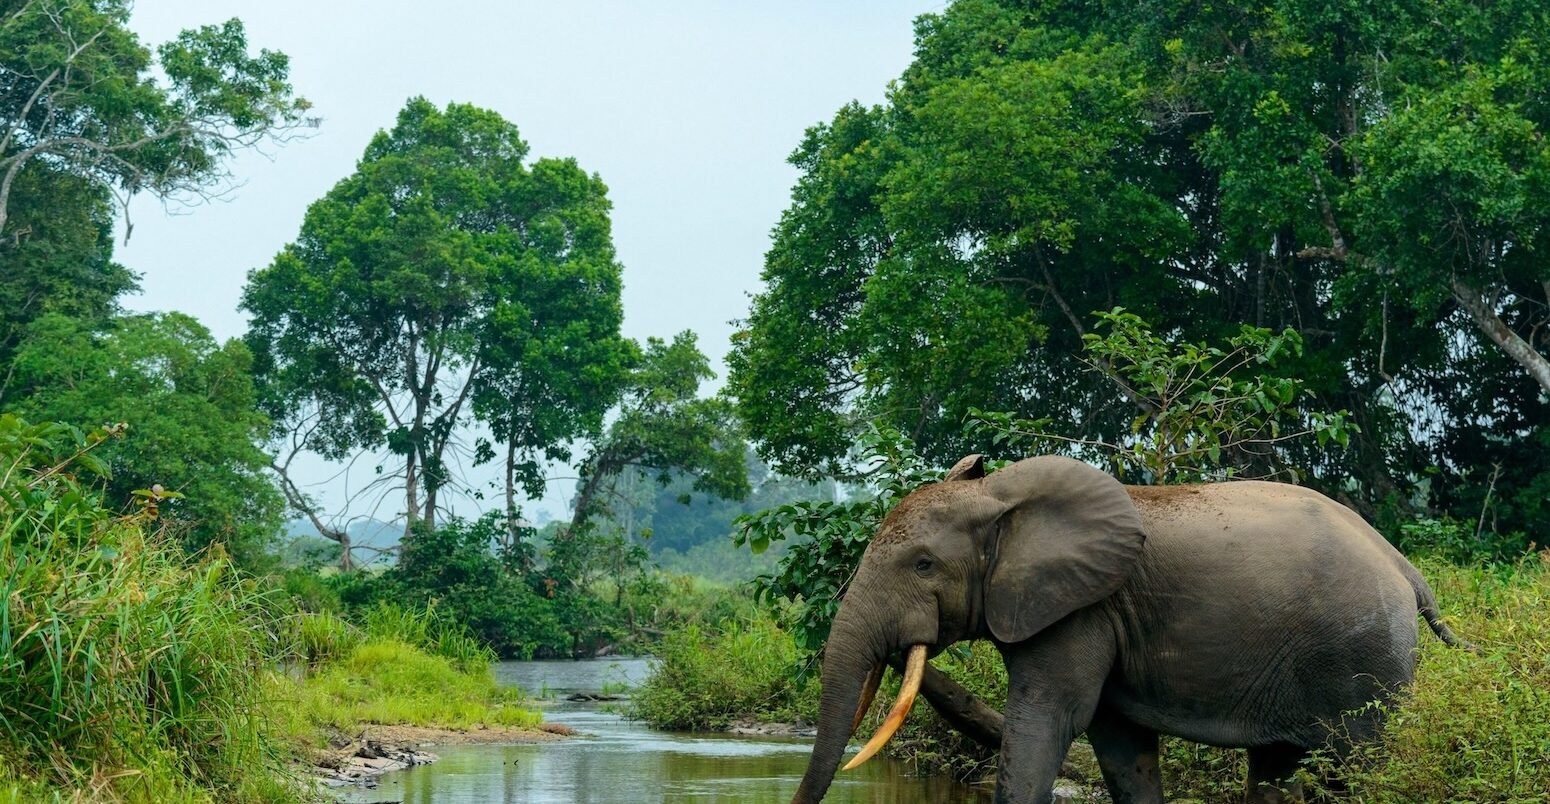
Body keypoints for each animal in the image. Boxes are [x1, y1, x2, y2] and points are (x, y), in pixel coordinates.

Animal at [791, 454, 1468, 804]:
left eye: (923, 565)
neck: (1001, 494)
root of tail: (1405, 567)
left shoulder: (1079, 610)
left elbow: (1049, 719)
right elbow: (1119, 744)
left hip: (1362, 655)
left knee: (1356, 765)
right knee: (1275, 768)